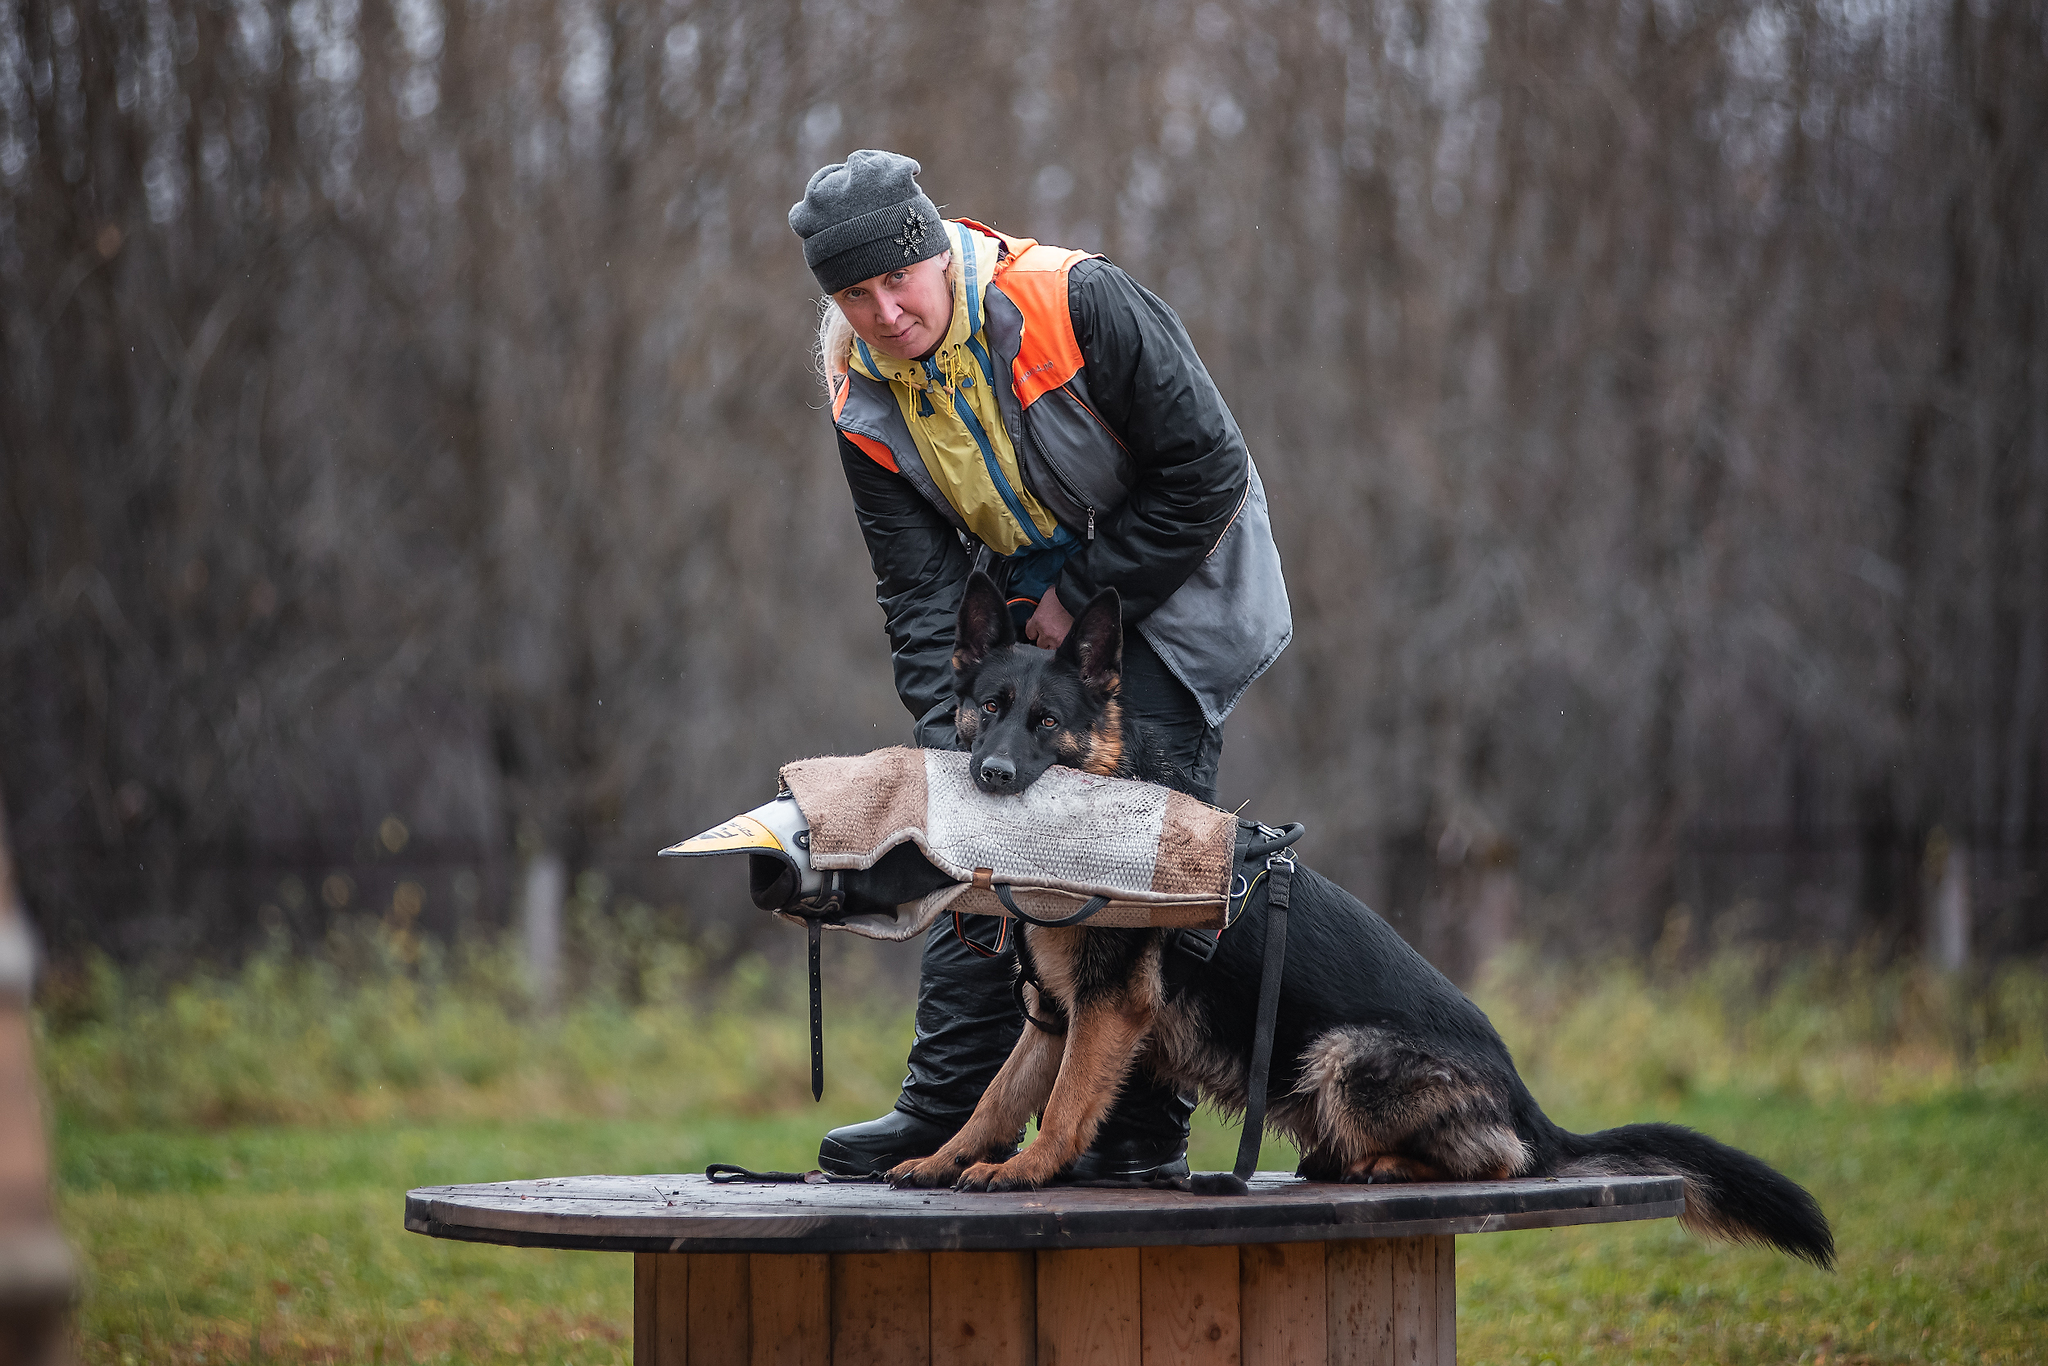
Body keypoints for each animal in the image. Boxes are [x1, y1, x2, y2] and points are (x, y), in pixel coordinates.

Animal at [856, 573, 1835, 1269]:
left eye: (1046, 721)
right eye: (987, 709)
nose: (990, 776)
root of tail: (1528, 1101)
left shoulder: (1106, 1014)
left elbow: (1060, 1109)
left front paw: (1024, 1174)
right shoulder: (1057, 1018)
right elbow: (996, 1097)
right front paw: (949, 1162)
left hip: (1345, 1054)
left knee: (1503, 1162)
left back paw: (1388, 1165)